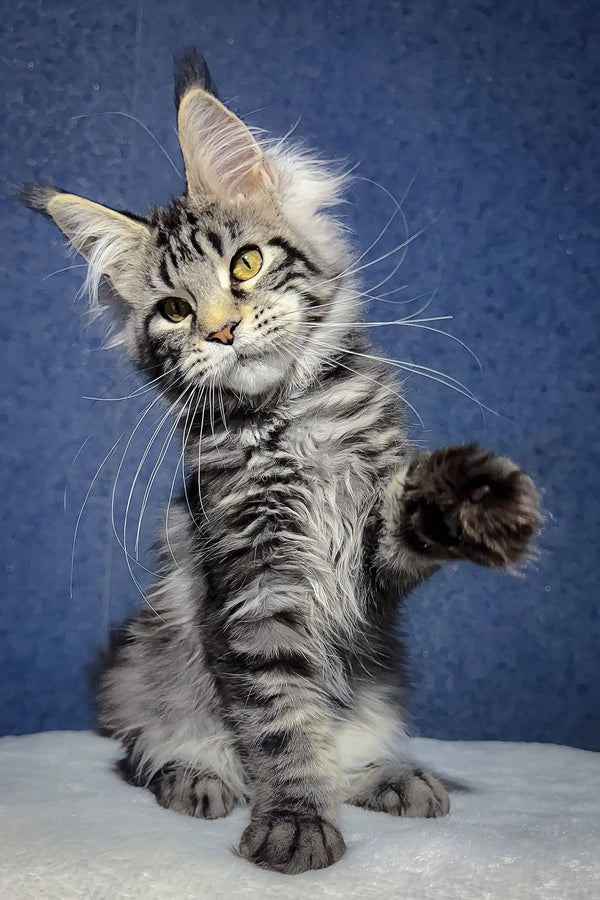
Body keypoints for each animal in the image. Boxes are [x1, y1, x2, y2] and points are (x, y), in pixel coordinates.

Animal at [21, 47, 540, 872]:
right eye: (174, 310)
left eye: (246, 265)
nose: (222, 332)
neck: (294, 425)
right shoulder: (257, 583)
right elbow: (284, 719)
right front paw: (294, 821)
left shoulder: (370, 551)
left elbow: (412, 518)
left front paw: (474, 495)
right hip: (144, 672)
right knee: (151, 748)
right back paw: (195, 778)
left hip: (375, 689)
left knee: (346, 745)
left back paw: (389, 776)